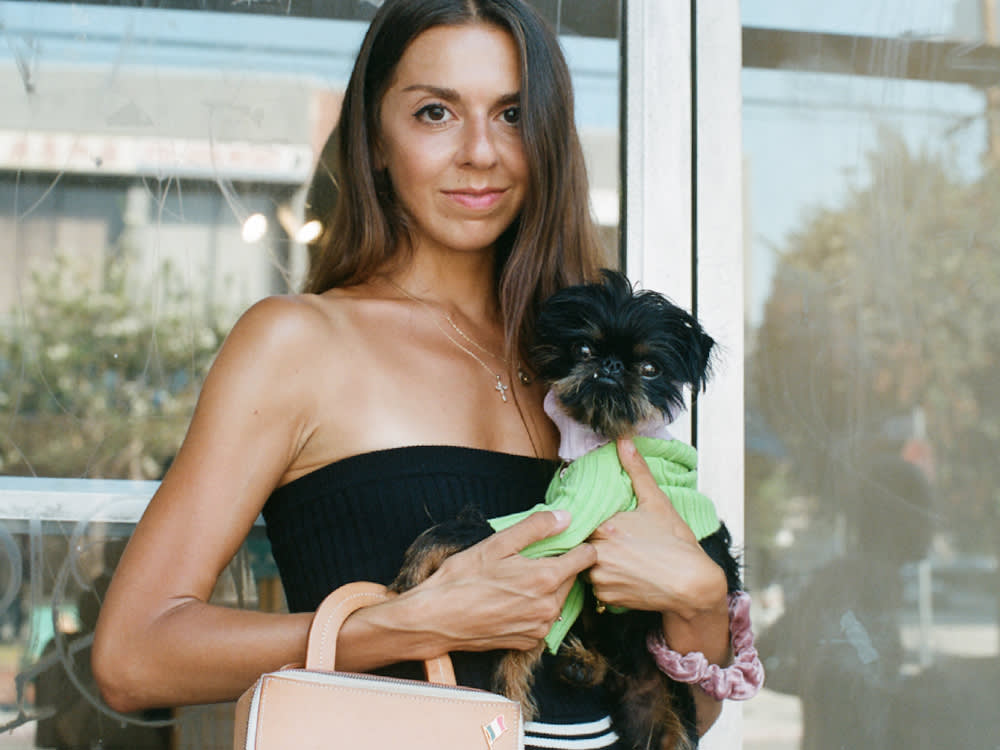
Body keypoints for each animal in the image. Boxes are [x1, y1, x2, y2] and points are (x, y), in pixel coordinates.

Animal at [390, 272, 744, 750]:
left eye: (649, 369)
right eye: (584, 349)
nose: (611, 366)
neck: (598, 439)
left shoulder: (570, 519)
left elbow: (477, 530)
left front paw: (424, 552)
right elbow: (527, 642)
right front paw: (513, 688)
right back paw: (581, 665)